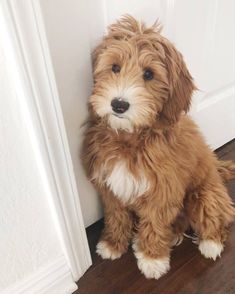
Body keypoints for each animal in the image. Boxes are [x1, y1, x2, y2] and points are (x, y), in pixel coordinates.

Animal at [81, 14, 234, 280]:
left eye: (149, 74)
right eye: (115, 67)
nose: (119, 104)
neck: (130, 140)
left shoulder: (163, 190)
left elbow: (154, 223)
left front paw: (153, 259)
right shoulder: (110, 186)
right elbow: (116, 215)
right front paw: (113, 243)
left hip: (205, 195)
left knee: (218, 218)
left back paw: (210, 244)